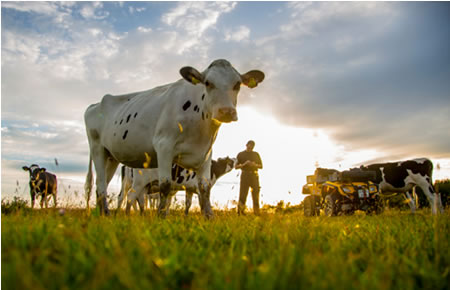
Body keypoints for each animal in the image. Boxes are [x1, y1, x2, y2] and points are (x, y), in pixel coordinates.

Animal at [84, 59, 264, 218]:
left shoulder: (205, 154)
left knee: (105, 186)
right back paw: (113, 214)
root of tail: (95, 104)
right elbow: (166, 186)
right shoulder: (164, 146)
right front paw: (161, 217)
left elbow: (204, 190)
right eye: (207, 83)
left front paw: (209, 218)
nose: (226, 111)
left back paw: (103, 215)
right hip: (98, 149)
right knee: (108, 187)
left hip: (111, 156)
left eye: (237, 84)